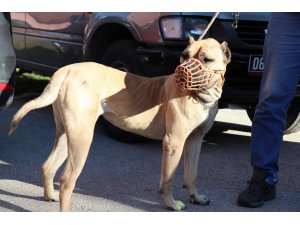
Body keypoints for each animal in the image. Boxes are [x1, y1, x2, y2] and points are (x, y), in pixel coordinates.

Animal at [8, 37, 231, 212]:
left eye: (206, 59)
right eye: (185, 55)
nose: (181, 72)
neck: (200, 97)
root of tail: (67, 70)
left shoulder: (195, 141)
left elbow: (191, 174)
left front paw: (196, 197)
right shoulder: (174, 142)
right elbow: (168, 178)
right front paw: (171, 204)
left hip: (66, 134)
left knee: (48, 166)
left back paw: (50, 195)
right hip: (81, 138)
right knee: (66, 180)